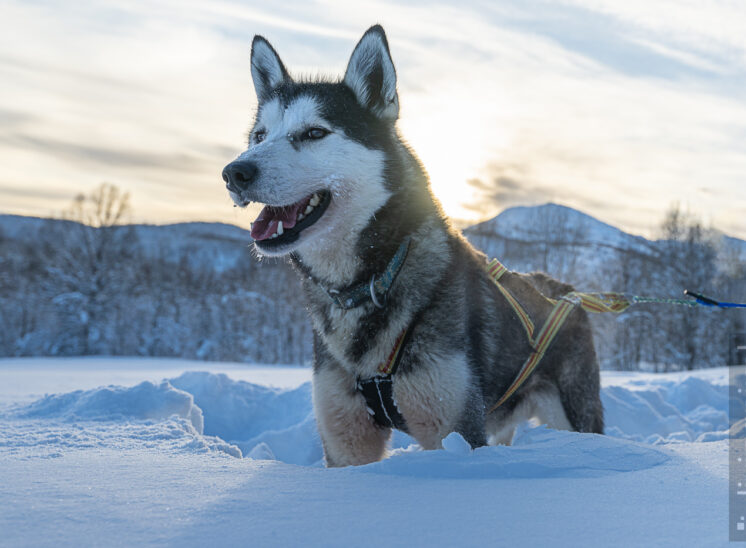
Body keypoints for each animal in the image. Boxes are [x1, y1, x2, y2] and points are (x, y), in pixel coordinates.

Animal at [221, 24, 600, 466]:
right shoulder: (346, 440)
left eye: (314, 133)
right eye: (259, 136)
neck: (371, 280)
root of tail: (566, 292)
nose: (234, 172)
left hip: (575, 413)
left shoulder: (455, 430)